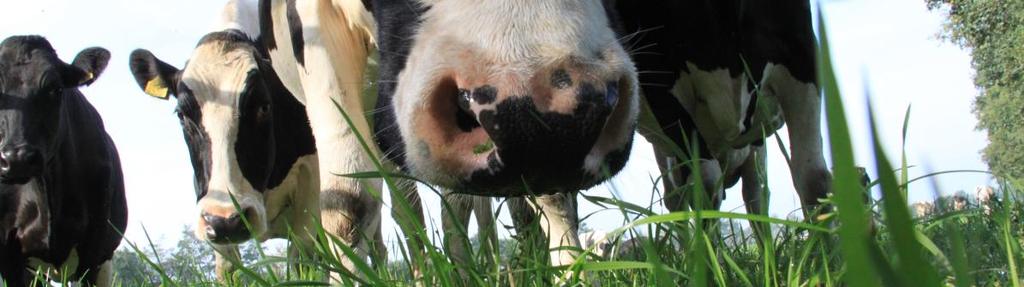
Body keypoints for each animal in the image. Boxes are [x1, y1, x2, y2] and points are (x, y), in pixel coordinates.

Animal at [128, 29, 321, 280]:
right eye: (181, 114)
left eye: (264, 106)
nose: (226, 222)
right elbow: (228, 268)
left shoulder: (312, 182)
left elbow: (304, 261)